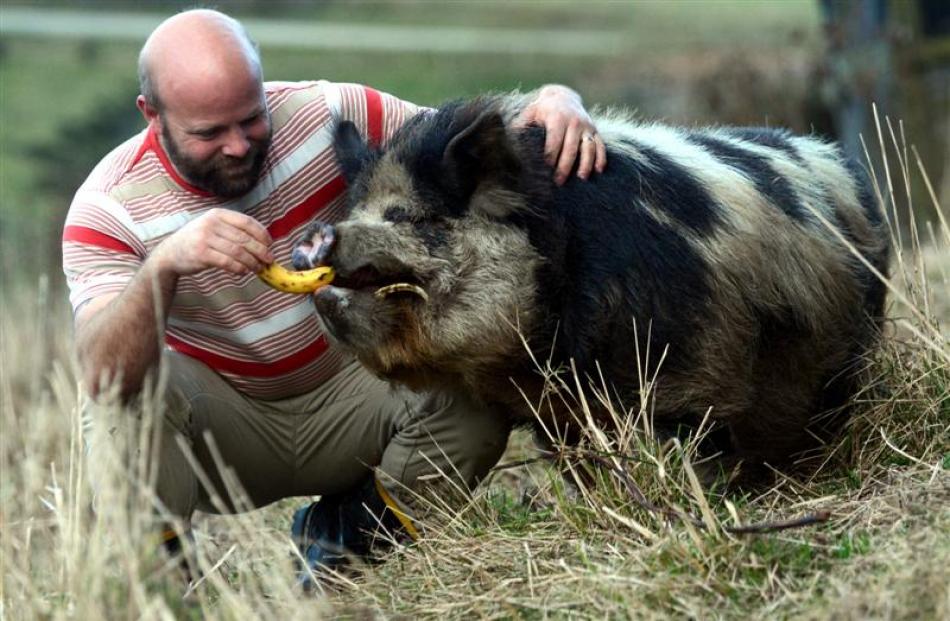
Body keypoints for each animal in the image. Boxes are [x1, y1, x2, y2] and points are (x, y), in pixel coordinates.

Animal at [292, 95, 892, 464]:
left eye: (412, 217)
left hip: (848, 349)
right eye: (358, 208)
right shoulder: (556, 416)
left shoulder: (683, 375)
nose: (319, 236)